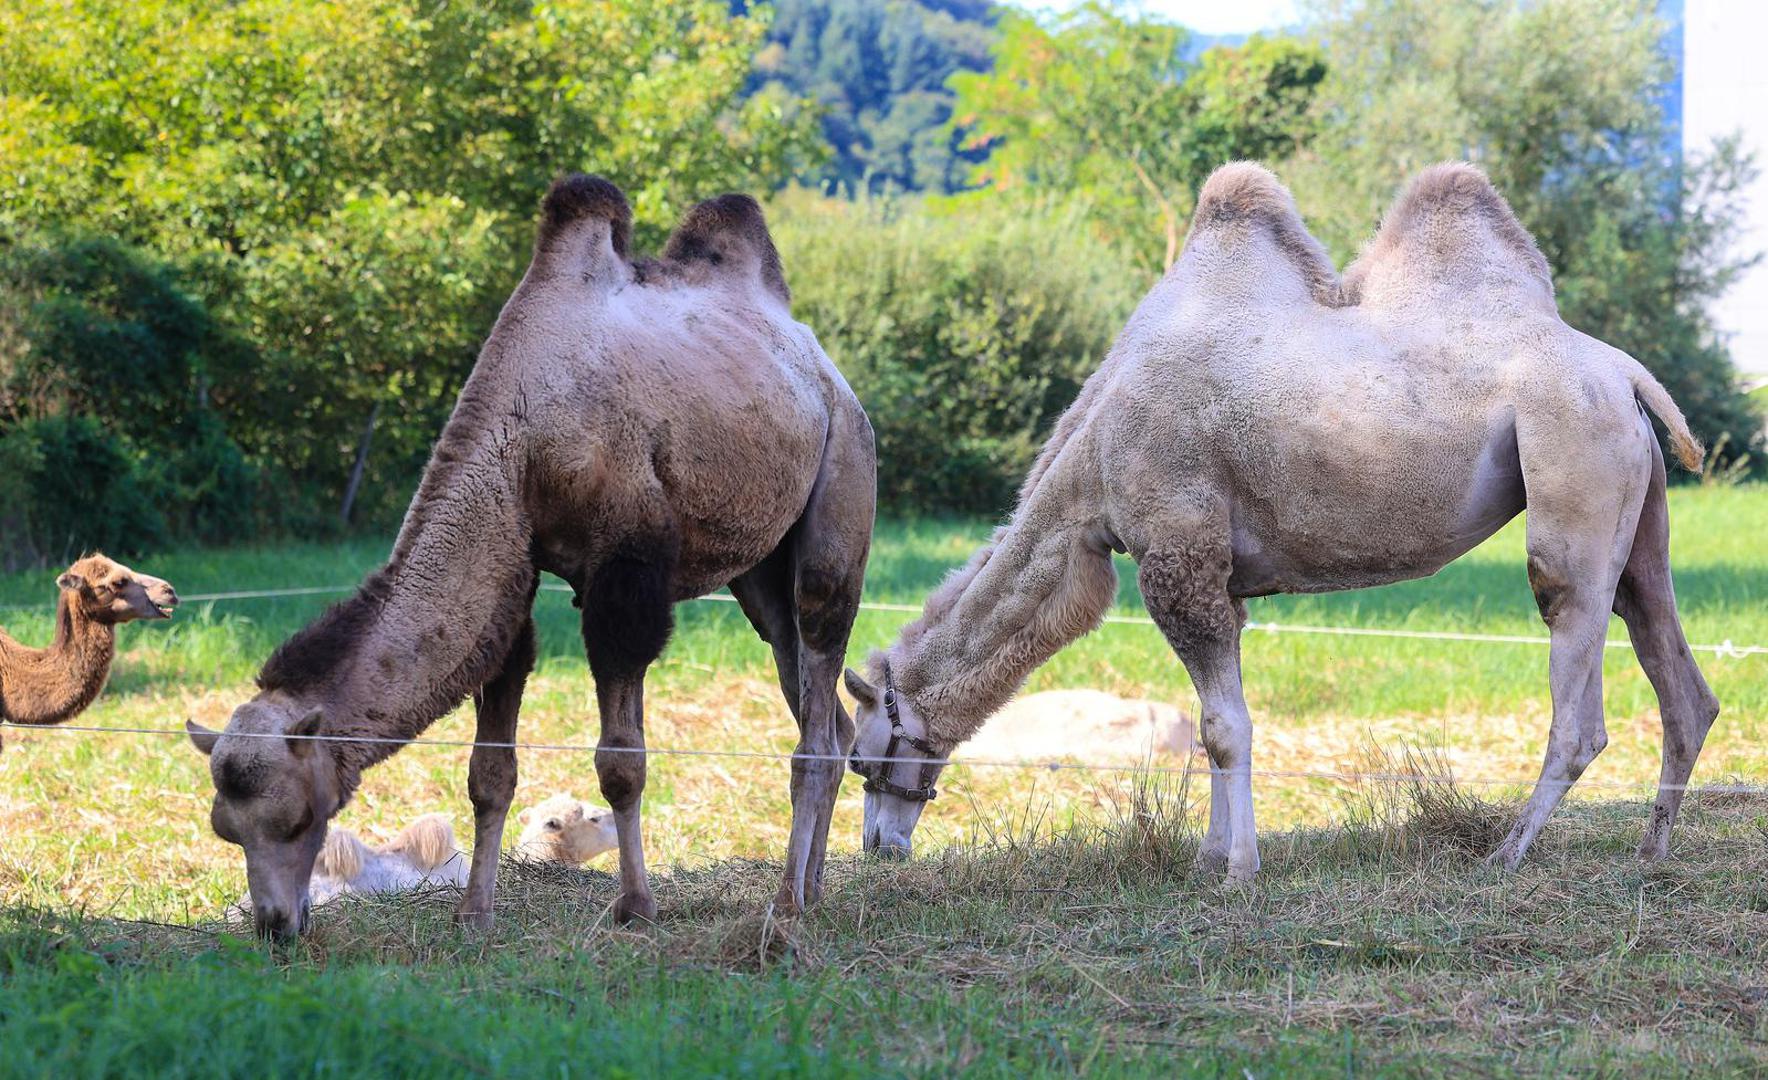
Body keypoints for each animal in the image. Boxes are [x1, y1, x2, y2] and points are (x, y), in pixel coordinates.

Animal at [188, 174, 876, 940]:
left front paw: (635, 906)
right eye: (227, 829)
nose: (275, 924)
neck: (524, 443)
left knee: (817, 694)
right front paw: (474, 911)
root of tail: (823, 370)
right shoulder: (511, 574)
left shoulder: (624, 572)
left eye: (298, 817)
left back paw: (786, 903)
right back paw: (813, 889)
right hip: (759, 578)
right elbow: (489, 771)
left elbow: (621, 763)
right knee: (827, 713)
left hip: (842, 484)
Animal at [848, 164, 1718, 883]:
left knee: (1577, 682)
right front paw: (1210, 859)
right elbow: (1214, 727)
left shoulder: (1178, 554)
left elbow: (1224, 727)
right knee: (1678, 673)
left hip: (1571, 464)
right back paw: (1651, 849)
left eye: (861, 755)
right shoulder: (1218, 574)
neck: (1088, 468)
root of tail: (1624, 371)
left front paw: (1239, 871)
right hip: (1638, 509)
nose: (878, 845)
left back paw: (1508, 851)